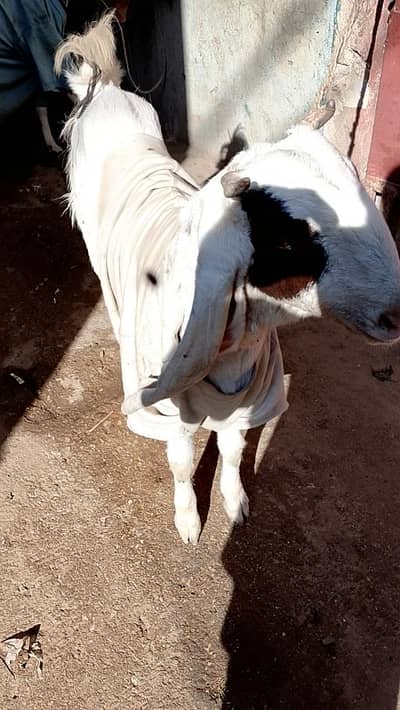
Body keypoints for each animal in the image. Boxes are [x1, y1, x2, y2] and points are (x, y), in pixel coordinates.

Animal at [55, 13, 400, 544]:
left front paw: (235, 503)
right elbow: (181, 464)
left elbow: (235, 452)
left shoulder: (250, 403)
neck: (235, 352)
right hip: (92, 238)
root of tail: (105, 88)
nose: (396, 312)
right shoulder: (169, 415)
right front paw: (188, 521)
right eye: (289, 238)